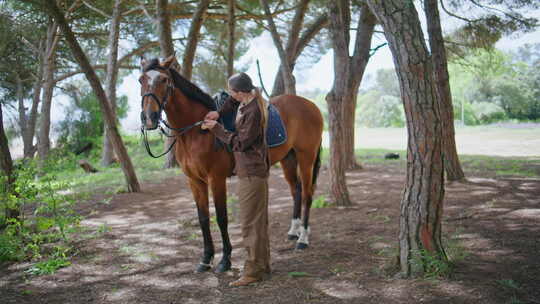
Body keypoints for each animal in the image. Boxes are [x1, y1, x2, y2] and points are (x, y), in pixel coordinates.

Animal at [139, 55, 322, 274]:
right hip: (289, 159)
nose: (149, 118)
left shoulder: (216, 179)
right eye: (141, 80)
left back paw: (303, 239)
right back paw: (293, 232)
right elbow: (203, 219)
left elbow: (221, 218)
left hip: (306, 157)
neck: (198, 132)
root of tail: (311, 106)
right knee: (296, 191)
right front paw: (205, 259)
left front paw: (225, 261)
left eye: (164, 80)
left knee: (307, 194)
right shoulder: (194, 181)